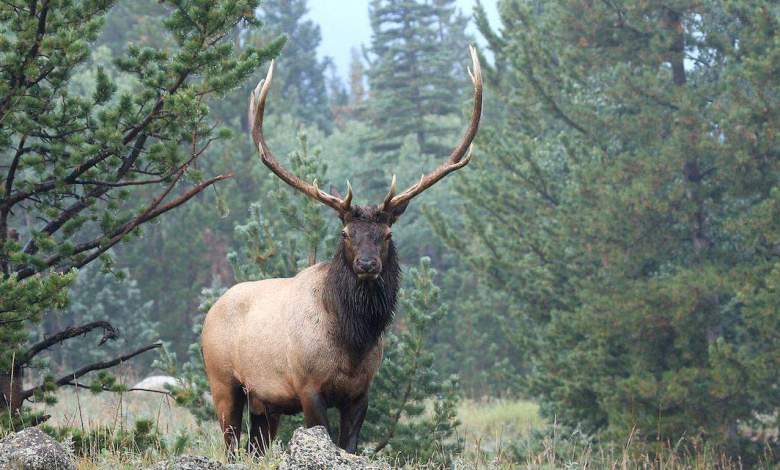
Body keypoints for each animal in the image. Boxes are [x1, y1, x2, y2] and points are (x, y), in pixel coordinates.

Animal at [201, 45, 482, 457]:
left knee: (254, 444)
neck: (352, 342)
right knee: (230, 441)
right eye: (346, 232)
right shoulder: (307, 386)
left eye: (386, 233)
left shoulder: (360, 392)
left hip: (265, 403)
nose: (366, 264)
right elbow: (324, 436)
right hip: (223, 382)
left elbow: (349, 444)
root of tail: (210, 312)